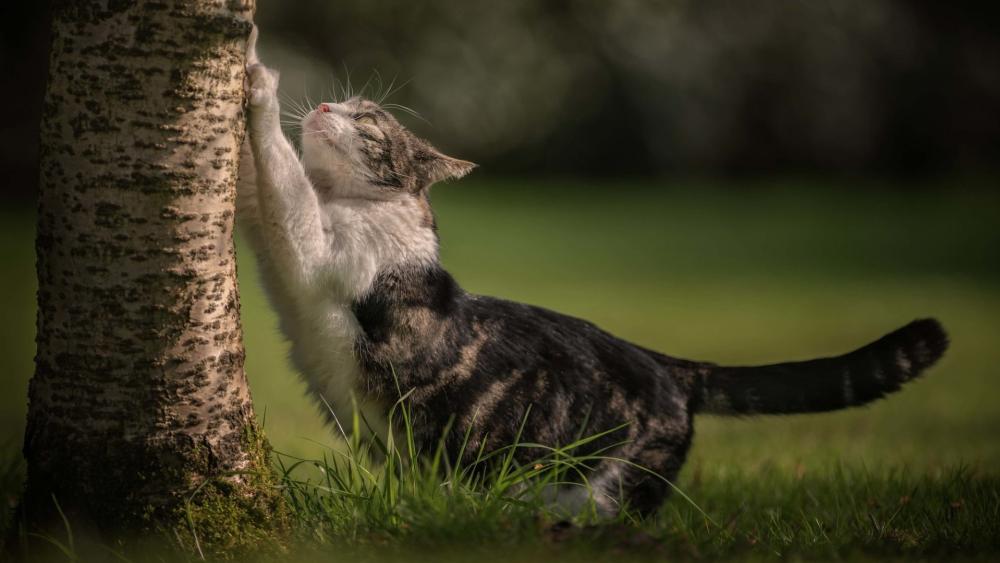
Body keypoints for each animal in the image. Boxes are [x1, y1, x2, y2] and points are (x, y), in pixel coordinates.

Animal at [234, 29, 944, 516]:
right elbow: (257, 192)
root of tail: (669, 365)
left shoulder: (316, 253)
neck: (350, 202)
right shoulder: (282, 246)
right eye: (343, 105)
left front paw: (258, 74)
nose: (324, 106)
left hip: (593, 487)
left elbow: (283, 175)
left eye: (368, 119)